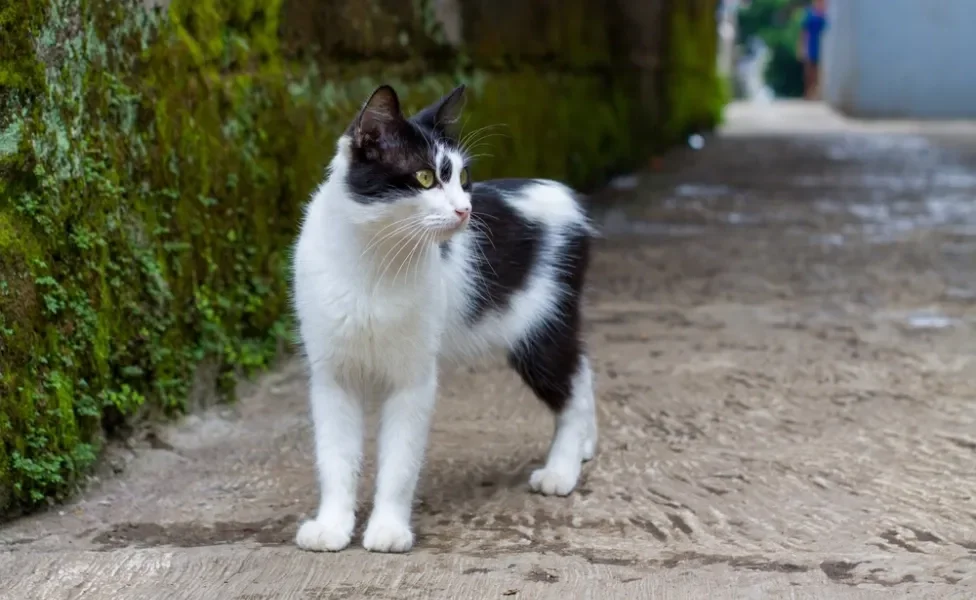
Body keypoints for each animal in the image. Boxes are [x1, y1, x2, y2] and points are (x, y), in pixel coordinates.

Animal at [290, 84, 596, 552]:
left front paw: (388, 529)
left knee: (573, 385)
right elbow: (335, 456)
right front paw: (331, 526)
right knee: (583, 368)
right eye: (424, 178)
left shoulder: (413, 377)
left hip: (540, 326)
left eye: (463, 179)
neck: (375, 261)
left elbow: (400, 460)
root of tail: (565, 194)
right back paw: (584, 446)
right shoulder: (331, 375)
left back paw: (562, 468)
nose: (465, 210)